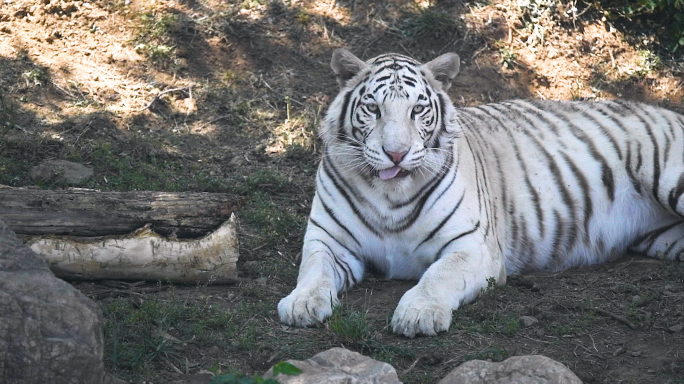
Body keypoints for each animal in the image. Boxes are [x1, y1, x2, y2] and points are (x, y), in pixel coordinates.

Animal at [276, 49, 684, 338]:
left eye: (417, 110)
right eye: (373, 108)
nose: (396, 153)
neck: (389, 194)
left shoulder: (473, 246)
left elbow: (438, 275)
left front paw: (417, 314)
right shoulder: (328, 240)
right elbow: (313, 269)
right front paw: (300, 304)